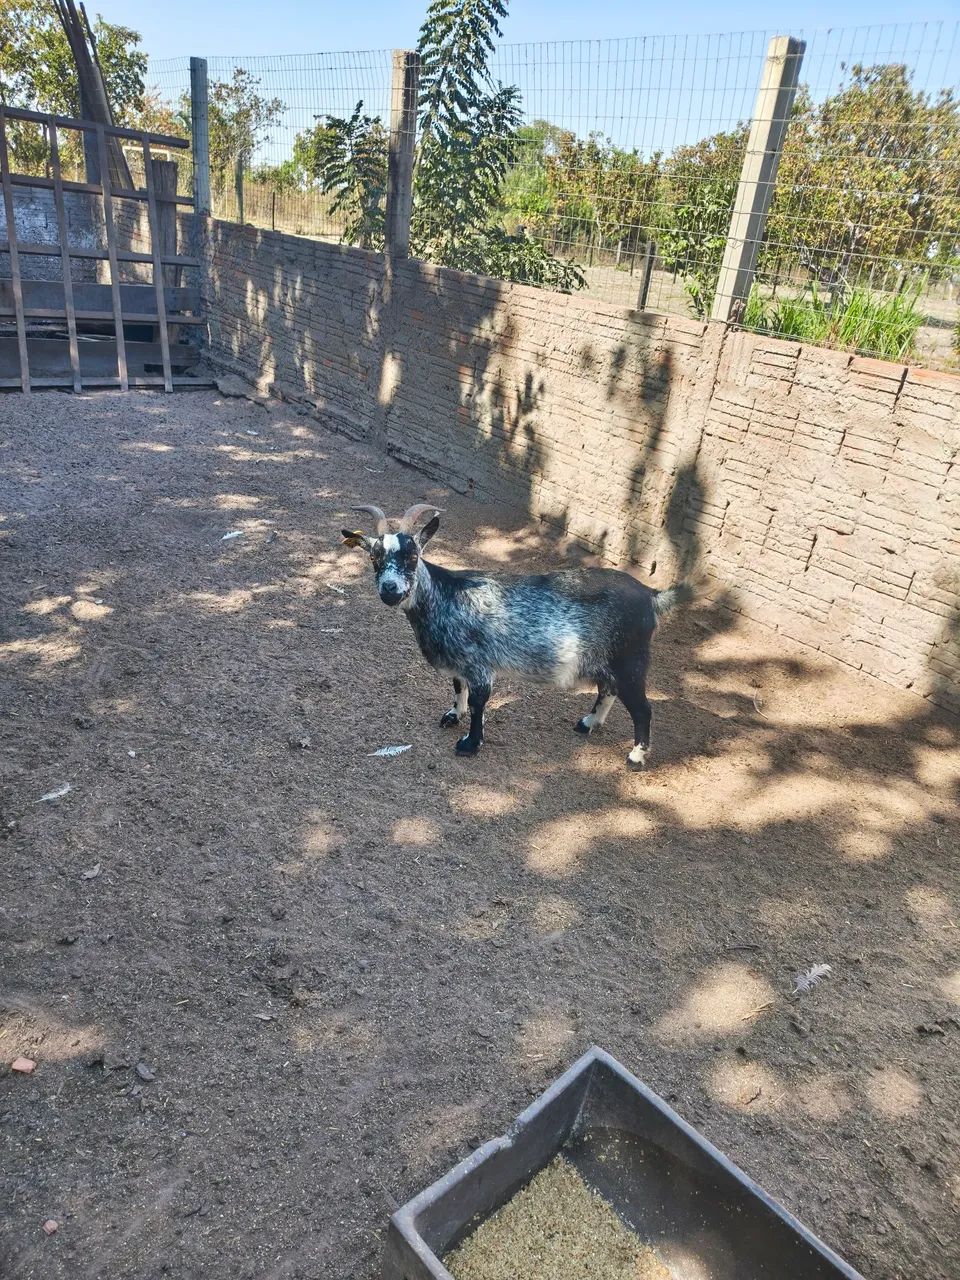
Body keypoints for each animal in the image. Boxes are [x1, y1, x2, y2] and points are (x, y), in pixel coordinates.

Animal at [341, 502, 694, 769]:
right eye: (374, 557)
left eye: (413, 556)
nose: (390, 589)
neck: (446, 596)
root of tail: (651, 596)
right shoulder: (459, 661)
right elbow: (458, 687)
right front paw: (453, 714)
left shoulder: (480, 665)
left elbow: (480, 702)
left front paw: (470, 743)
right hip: (606, 658)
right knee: (608, 689)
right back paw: (587, 724)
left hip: (631, 658)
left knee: (642, 708)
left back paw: (635, 757)